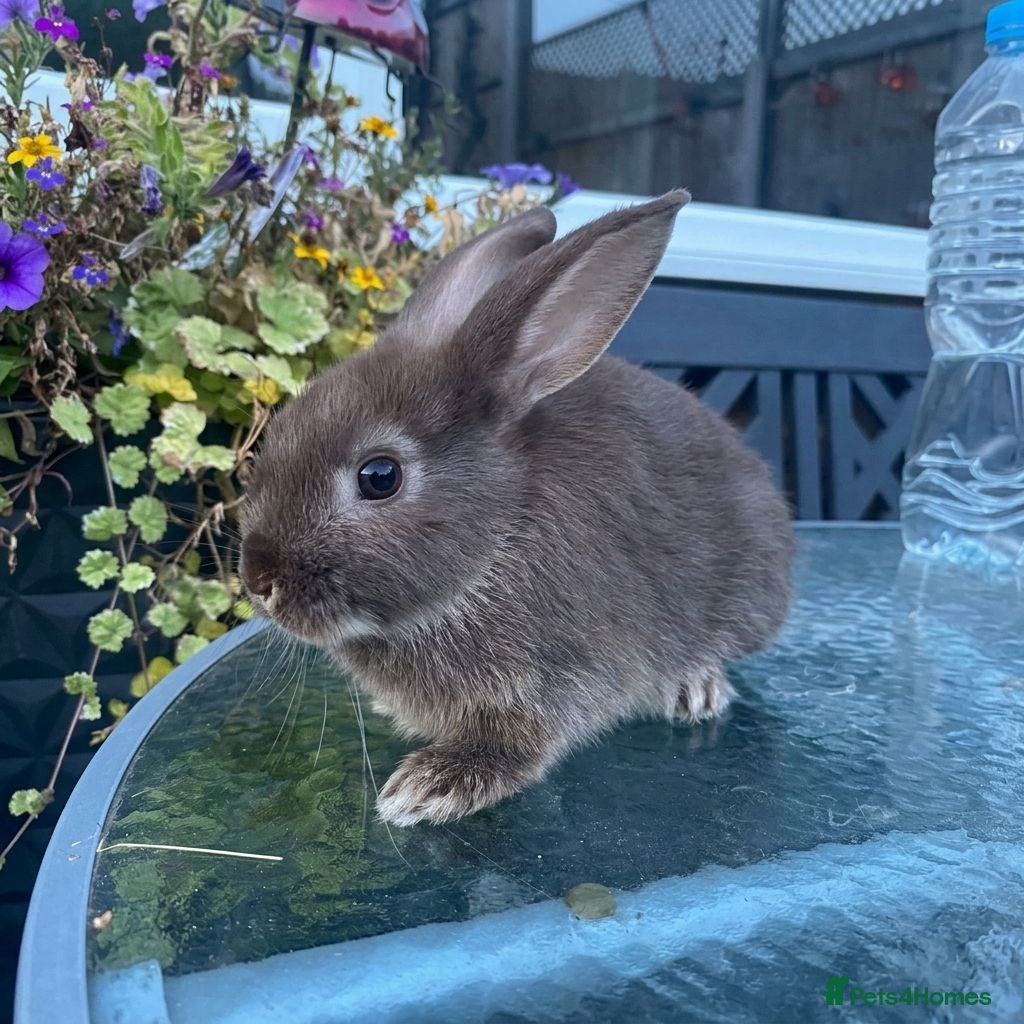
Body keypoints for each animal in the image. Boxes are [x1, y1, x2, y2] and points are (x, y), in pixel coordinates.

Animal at [240, 190, 794, 826]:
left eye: (379, 477)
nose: (259, 580)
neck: (496, 543)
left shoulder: (557, 675)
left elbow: (524, 741)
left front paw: (427, 788)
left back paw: (695, 687)